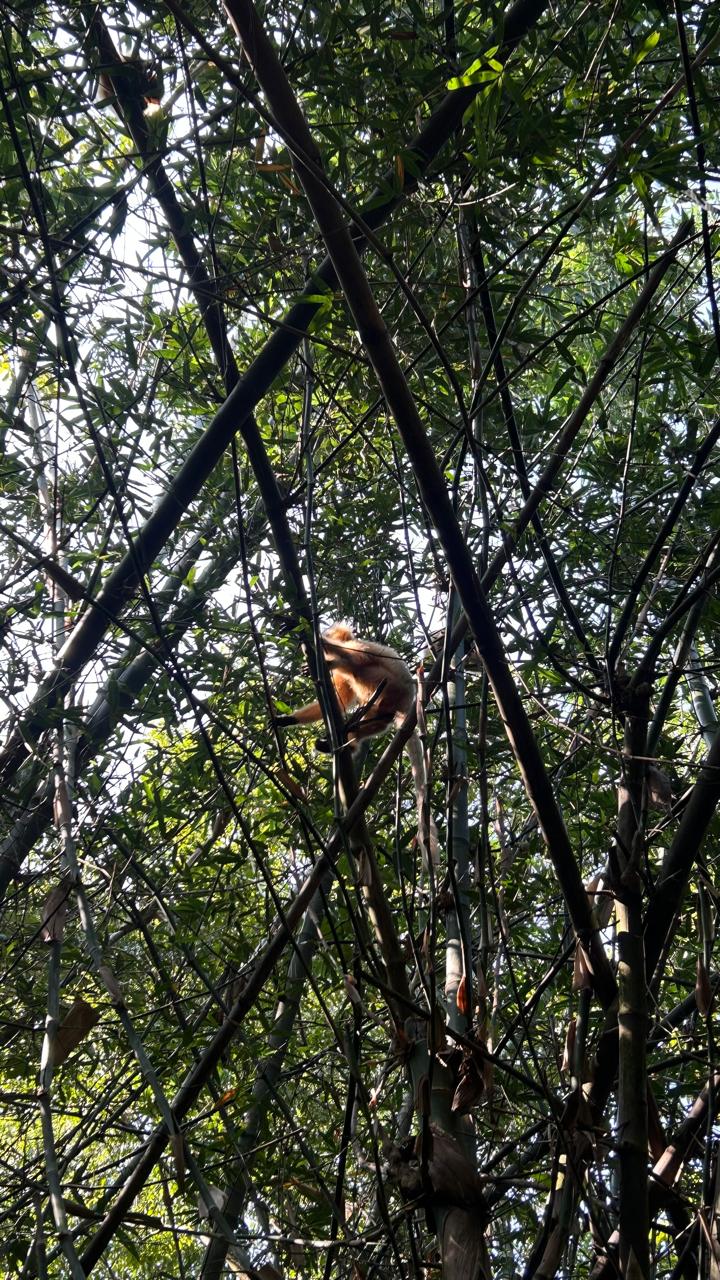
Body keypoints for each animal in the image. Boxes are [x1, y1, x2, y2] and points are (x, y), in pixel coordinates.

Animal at [274, 622, 438, 865]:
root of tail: (406, 704)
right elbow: (339, 697)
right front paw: (287, 719)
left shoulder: (358, 646)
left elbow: (355, 658)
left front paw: (306, 631)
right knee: (370, 714)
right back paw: (346, 739)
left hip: (388, 683)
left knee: (357, 664)